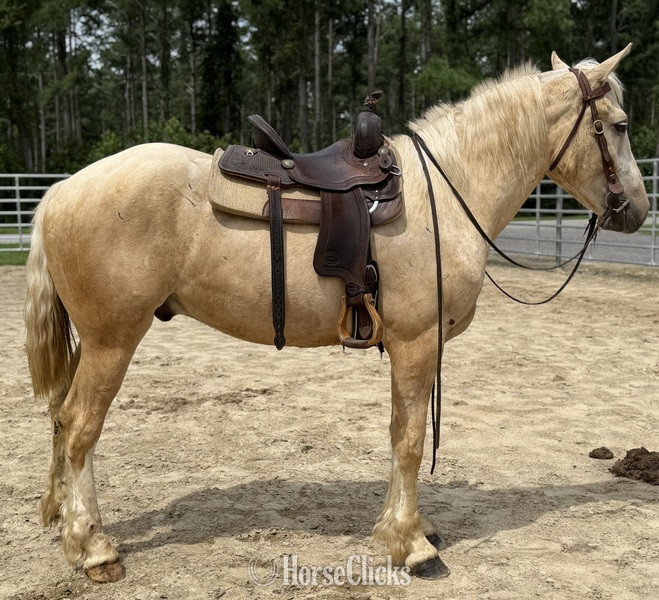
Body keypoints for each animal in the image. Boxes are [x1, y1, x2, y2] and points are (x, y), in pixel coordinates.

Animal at [24, 46, 649, 583]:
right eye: (619, 124)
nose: (638, 210)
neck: (447, 192)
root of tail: (59, 192)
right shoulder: (417, 343)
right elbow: (411, 440)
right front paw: (411, 546)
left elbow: (399, 433)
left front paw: (408, 528)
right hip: (112, 341)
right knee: (79, 426)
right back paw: (93, 547)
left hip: (91, 344)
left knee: (59, 417)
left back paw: (64, 518)